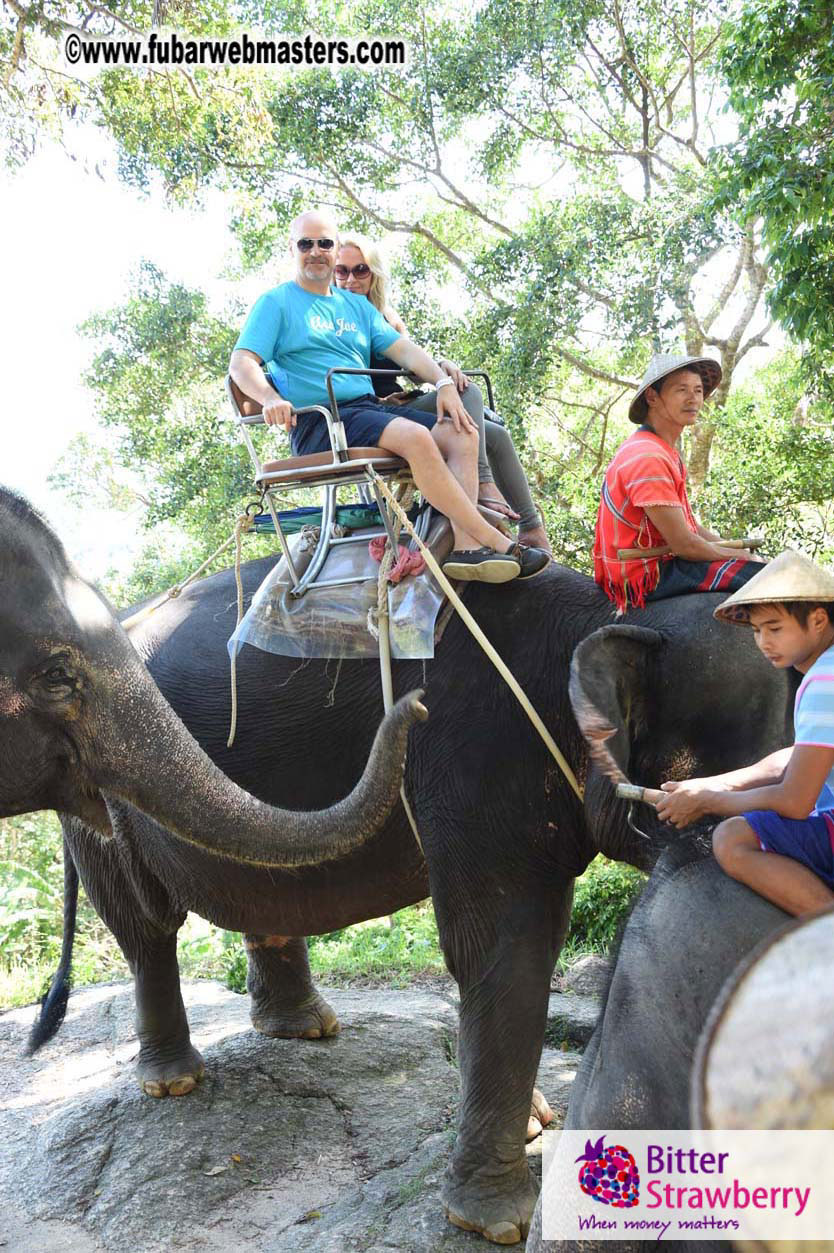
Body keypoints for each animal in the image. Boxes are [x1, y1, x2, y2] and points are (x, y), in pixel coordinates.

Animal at [3, 483, 796, 1246]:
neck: (611, 614)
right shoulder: (475, 755)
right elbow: (505, 946)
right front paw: (496, 1219)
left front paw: (534, 1123)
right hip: (96, 799)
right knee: (144, 925)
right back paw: (175, 1081)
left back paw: (305, 1029)